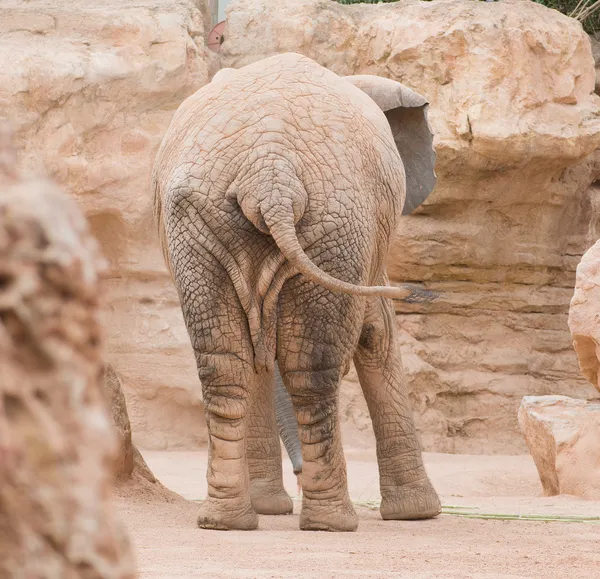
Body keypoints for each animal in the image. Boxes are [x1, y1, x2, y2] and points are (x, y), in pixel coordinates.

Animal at [150, 52, 440, 532]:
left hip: (207, 219)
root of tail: (272, 174)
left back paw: (227, 520)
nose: (299, 475)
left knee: (226, 361)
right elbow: (376, 331)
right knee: (311, 367)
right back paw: (332, 522)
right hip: (338, 218)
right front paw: (420, 513)